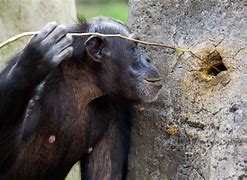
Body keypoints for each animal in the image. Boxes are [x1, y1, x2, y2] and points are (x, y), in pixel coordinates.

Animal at [0, 16, 162, 179]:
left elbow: (105, 174)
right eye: (133, 47)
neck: (82, 84)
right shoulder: (37, 94)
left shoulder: (118, 111)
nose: (148, 59)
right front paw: (33, 63)